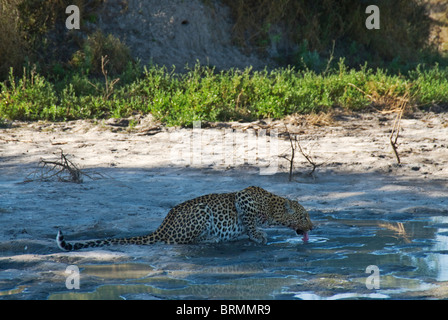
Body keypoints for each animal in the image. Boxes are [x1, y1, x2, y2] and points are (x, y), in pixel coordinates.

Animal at [56, 186, 314, 251]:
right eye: (304, 216)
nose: (313, 226)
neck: (272, 207)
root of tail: (162, 227)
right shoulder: (244, 199)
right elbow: (249, 222)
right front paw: (258, 235)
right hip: (201, 211)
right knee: (179, 241)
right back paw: (212, 239)